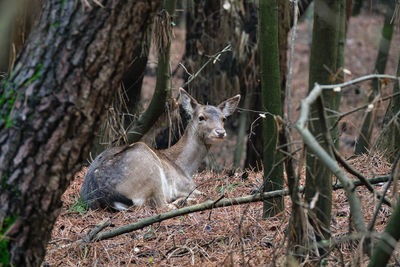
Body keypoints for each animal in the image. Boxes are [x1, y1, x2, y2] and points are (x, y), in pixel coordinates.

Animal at [79, 88, 239, 211]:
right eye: (201, 117)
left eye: (223, 118)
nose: (220, 132)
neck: (185, 168)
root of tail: (103, 194)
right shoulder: (186, 185)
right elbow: (202, 193)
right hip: (149, 168)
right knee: (162, 205)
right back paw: (180, 202)